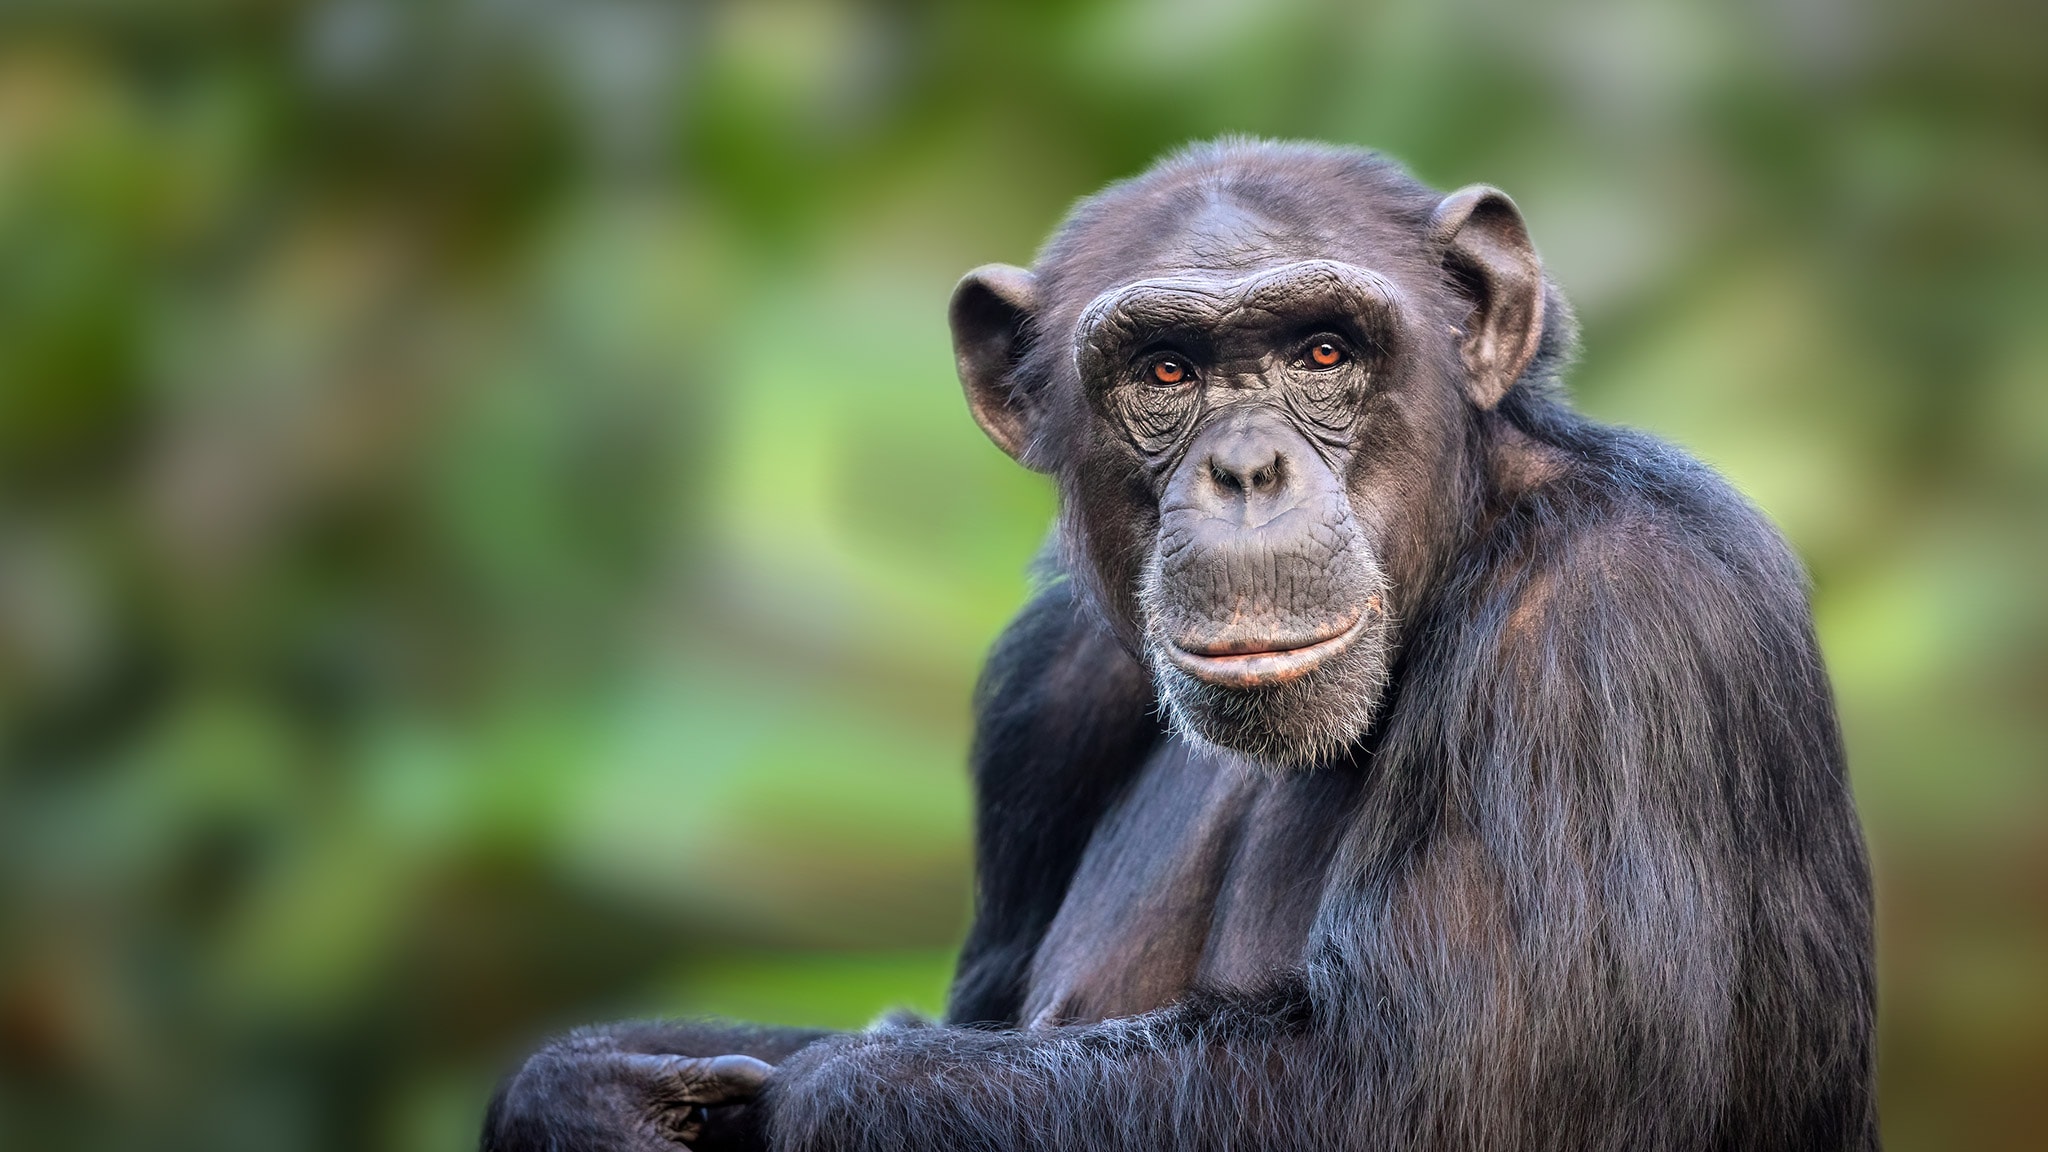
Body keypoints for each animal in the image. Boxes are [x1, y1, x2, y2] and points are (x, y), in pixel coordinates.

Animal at [479, 139, 1875, 1139]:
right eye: (1163, 372)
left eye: (1322, 350)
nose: (1247, 470)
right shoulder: (1042, 683)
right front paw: (579, 1093)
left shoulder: (1605, 629)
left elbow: (1432, 1088)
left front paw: (811, 1099)